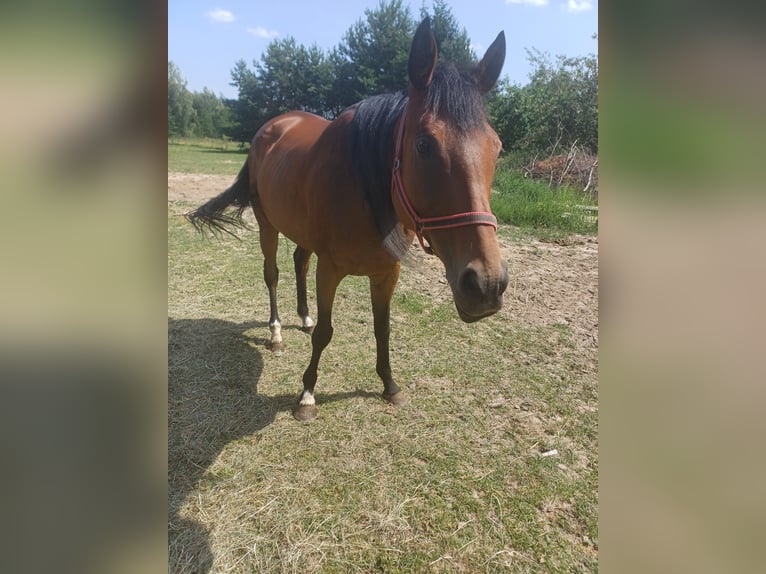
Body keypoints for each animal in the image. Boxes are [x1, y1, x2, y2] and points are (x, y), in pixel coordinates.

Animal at [186, 19, 510, 424]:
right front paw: (307, 395)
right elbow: (325, 333)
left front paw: (389, 386)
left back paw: (303, 317)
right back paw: (276, 334)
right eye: (423, 144)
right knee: (272, 274)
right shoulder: (331, 269)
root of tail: (271, 126)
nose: (487, 284)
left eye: (497, 147)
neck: (366, 186)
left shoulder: (387, 272)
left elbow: (382, 329)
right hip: (267, 224)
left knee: (299, 263)